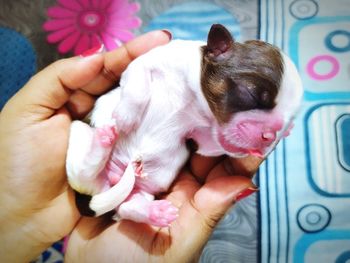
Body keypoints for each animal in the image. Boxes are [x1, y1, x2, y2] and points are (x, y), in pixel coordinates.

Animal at [66, 24, 304, 227]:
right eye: (250, 93)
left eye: (288, 119)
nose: (270, 135)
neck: (195, 101)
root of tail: (113, 180)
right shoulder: (143, 63)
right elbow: (137, 87)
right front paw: (126, 116)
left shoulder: (201, 139)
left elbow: (213, 145)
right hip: (79, 135)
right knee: (82, 172)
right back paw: (103, 140)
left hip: (137, 190)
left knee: (126, 207)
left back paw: (155, 213)